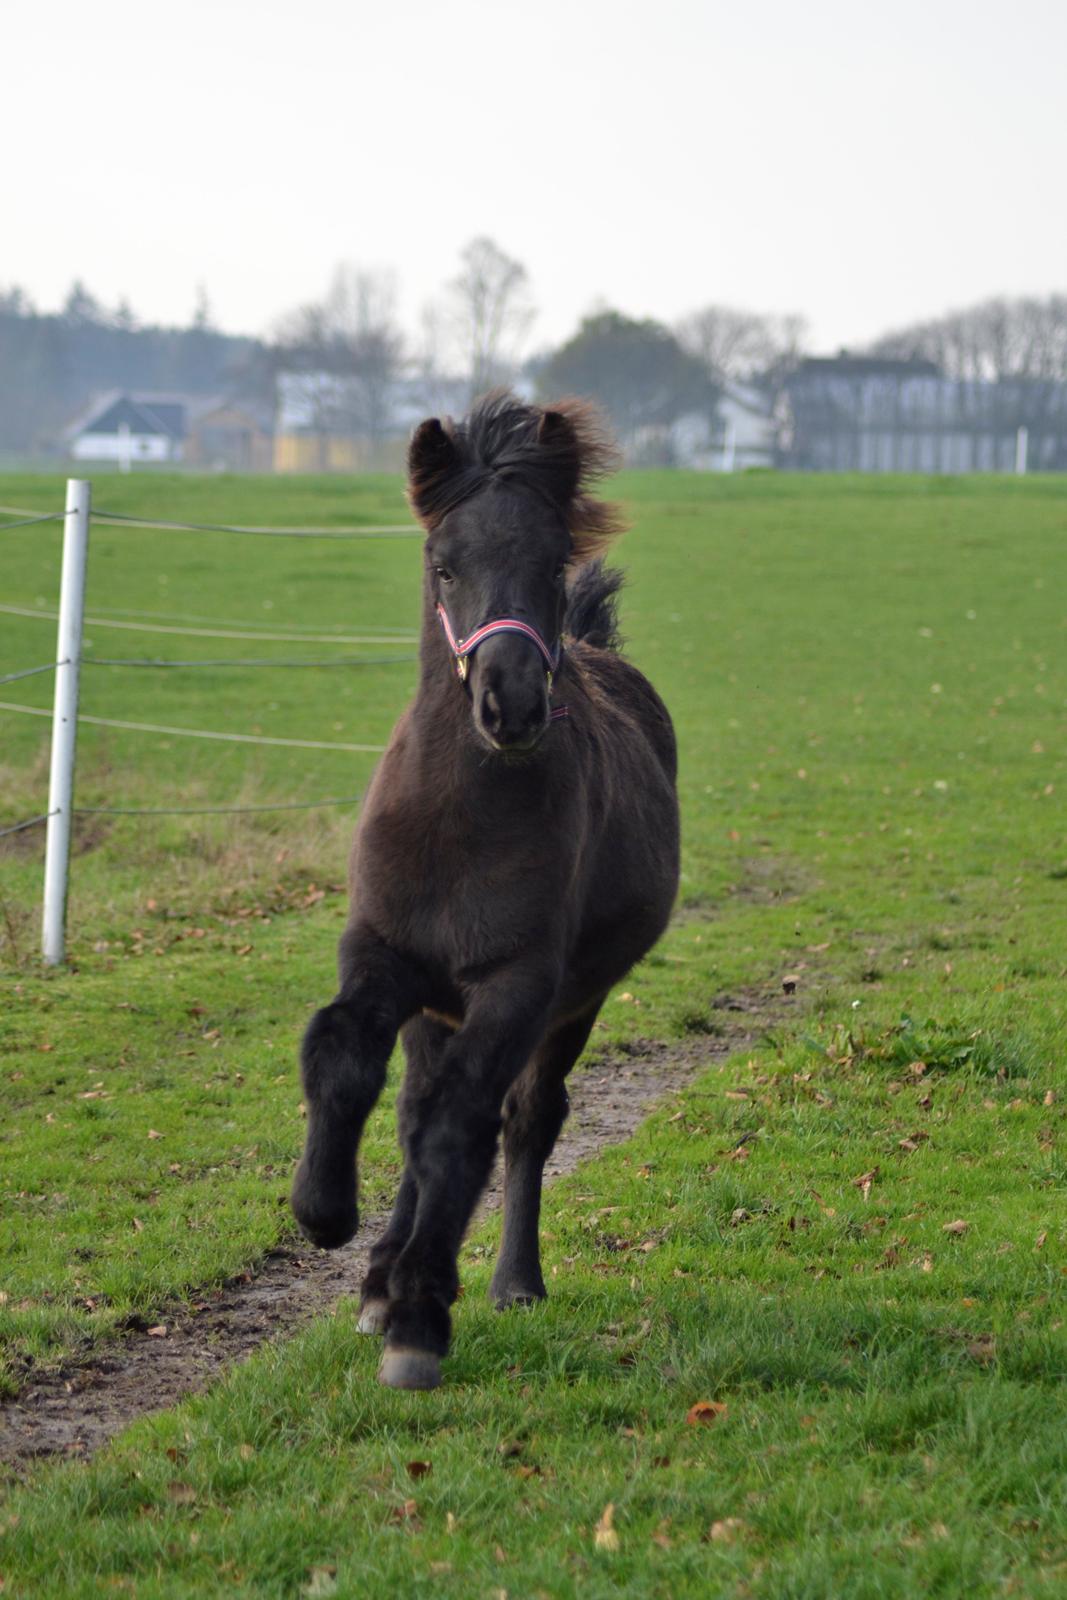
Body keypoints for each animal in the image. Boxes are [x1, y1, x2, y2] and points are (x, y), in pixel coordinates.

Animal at [287, 396, 681, 1388]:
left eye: (552, 562)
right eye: (443, 563)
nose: (510, 705)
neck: (460, 819)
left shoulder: (517, 983)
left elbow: (462, 1127)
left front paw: (420, 1321)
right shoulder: (384, 952)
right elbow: (343, 1054)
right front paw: (325, 1213)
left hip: (572, 1001)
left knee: (523, 1119)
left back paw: (508, 1282)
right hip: (437, 1005)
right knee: (414, 1104)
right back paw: (378, 1276)